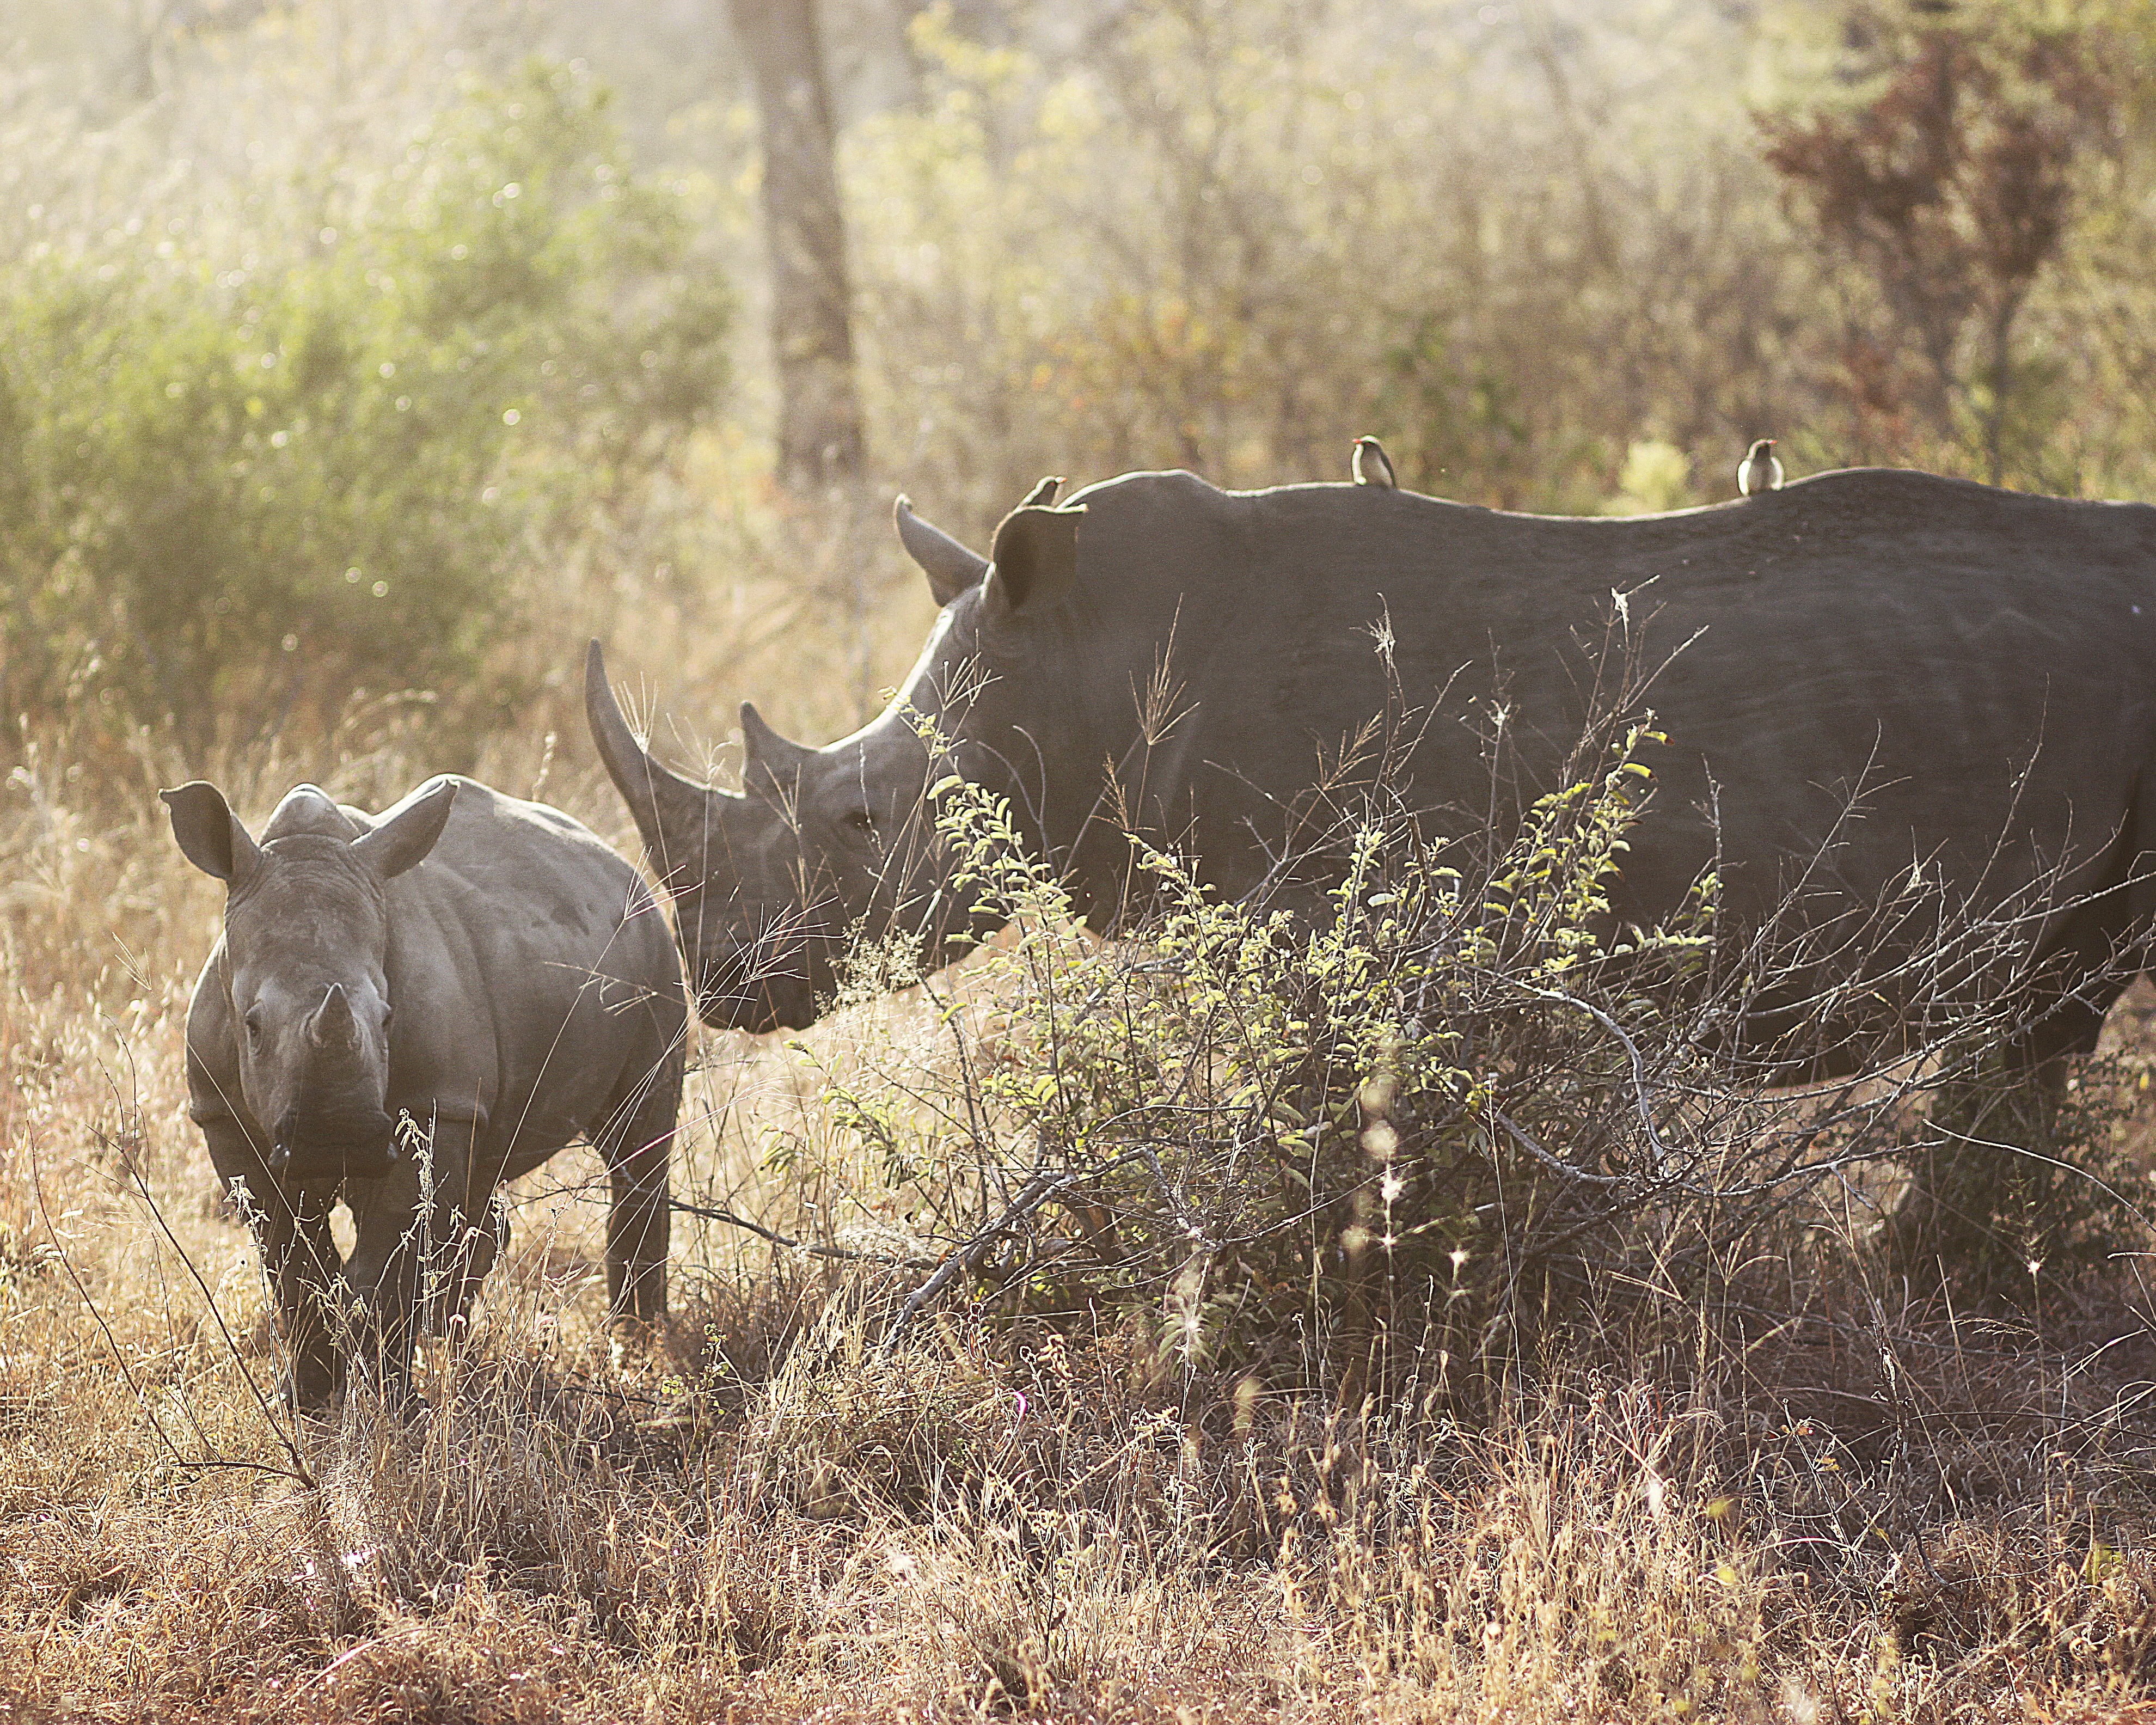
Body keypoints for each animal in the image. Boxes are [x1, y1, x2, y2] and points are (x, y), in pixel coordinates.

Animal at [164, 776, 685, 1405]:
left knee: (636, 1142)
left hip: (657, 954)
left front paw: (387, 1402)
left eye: (388, 1018)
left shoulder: (438, 1104)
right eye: (253, 1025)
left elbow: (387, 1261)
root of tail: (621, 866)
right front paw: (307, 1399)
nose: (336, 1139)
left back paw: (636, 1346)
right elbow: (290, 1259)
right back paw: (450, 1337)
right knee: (486, 1171)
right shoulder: (221, 1114)